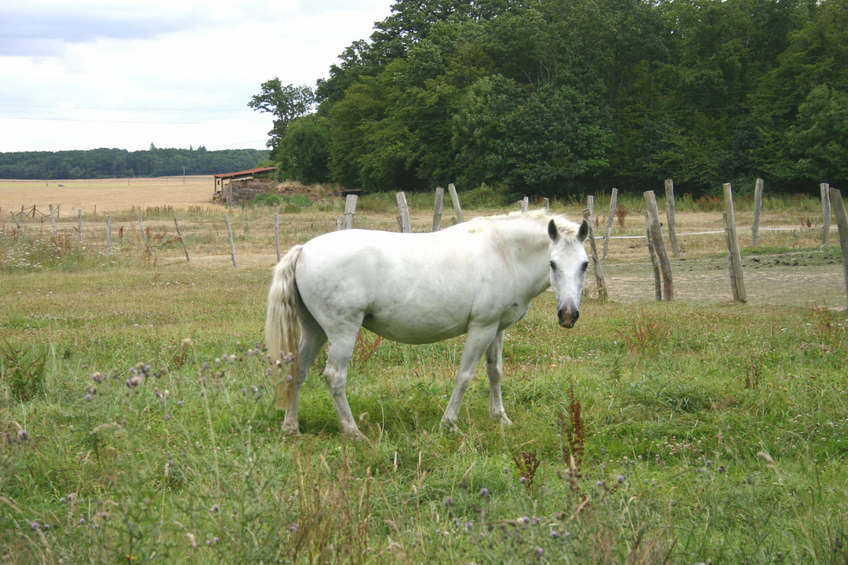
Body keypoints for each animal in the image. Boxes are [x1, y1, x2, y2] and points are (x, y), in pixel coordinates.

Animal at [266, 212, 588, 436]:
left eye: (584, 264)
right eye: (552, 264)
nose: (568, 314)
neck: (504, 252)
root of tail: (304, 250)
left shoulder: (497, 328)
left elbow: (495, 372)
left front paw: (500, 418)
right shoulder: (481, 328)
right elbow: (465, 376)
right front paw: (450, 424)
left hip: (314, 330)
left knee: (297, 372)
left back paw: (291, 427)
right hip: (342, 332)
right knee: (334, 376)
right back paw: (352, 431)